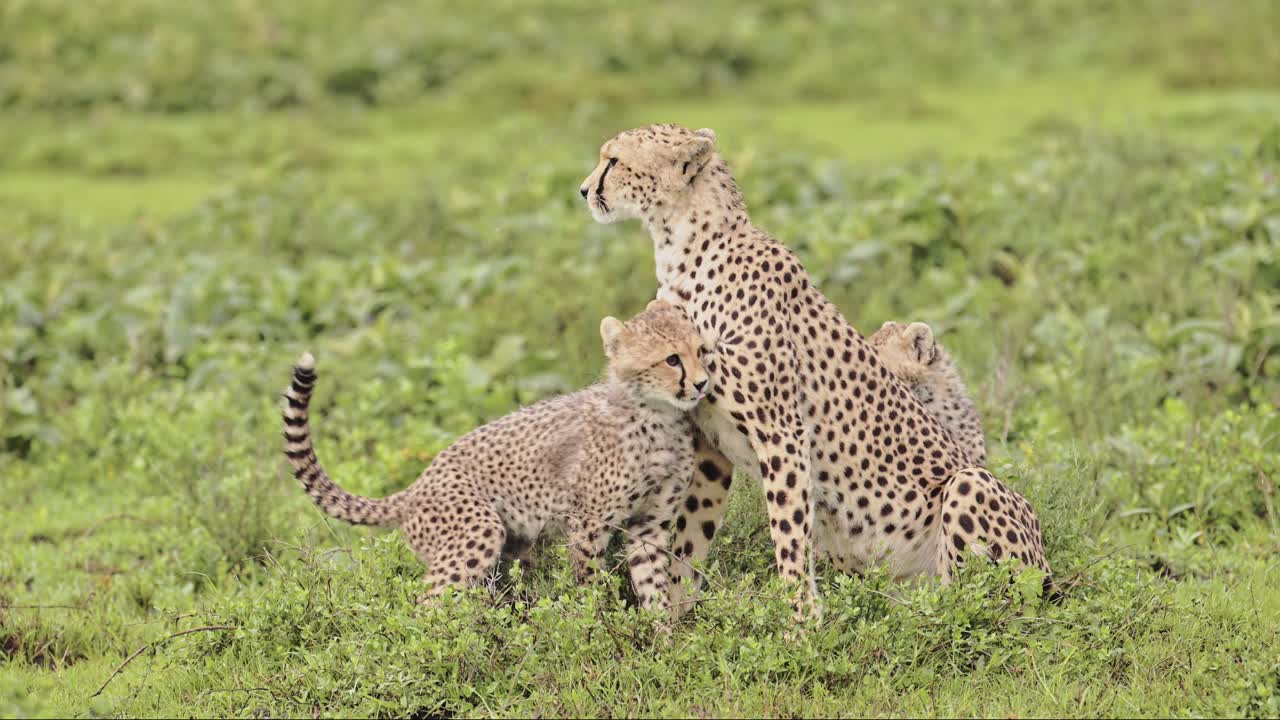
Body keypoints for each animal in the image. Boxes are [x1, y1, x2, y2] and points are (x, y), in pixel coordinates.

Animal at [281, 300, 710, 613]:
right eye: (672, 359)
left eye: (701, 351)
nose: (703, 383)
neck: (657, 416)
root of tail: (416, 486)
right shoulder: (589, 524)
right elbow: (589, 585)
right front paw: (600, 630)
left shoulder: (649, 526)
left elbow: (654, 586)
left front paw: (664, 645)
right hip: (479, 530)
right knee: (425, 602)